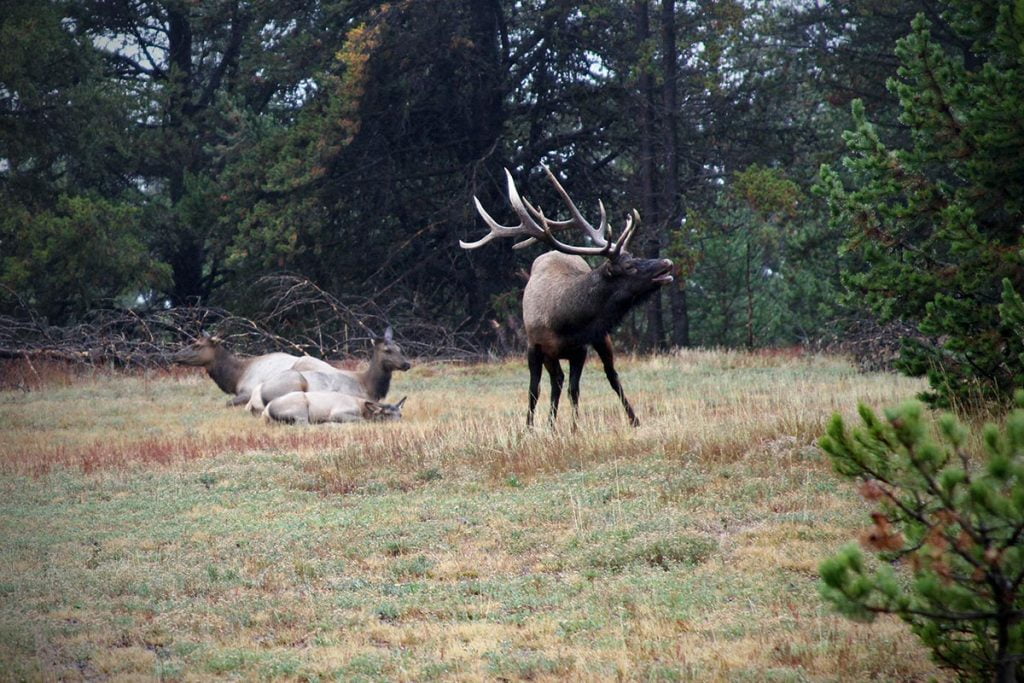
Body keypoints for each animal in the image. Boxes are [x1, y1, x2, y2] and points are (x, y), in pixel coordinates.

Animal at [244, 326, 411, 413]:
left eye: (399, 347)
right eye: (387, 350)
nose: (407, 364)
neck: (370, 386)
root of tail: (255, 396)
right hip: (295, 382)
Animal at [461, 165, 674, 428]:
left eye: (634, 256)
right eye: (630, 266)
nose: (666, 262)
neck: (565, 321)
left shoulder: (580, 348)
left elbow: (574, 389)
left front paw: (574, 427)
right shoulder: (538, 346)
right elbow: (539, 388)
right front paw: (534, 427)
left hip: (601, 338)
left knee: (611, 375)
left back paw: (633, 420)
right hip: (546, 352)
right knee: (550, 382)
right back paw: (545, 425)